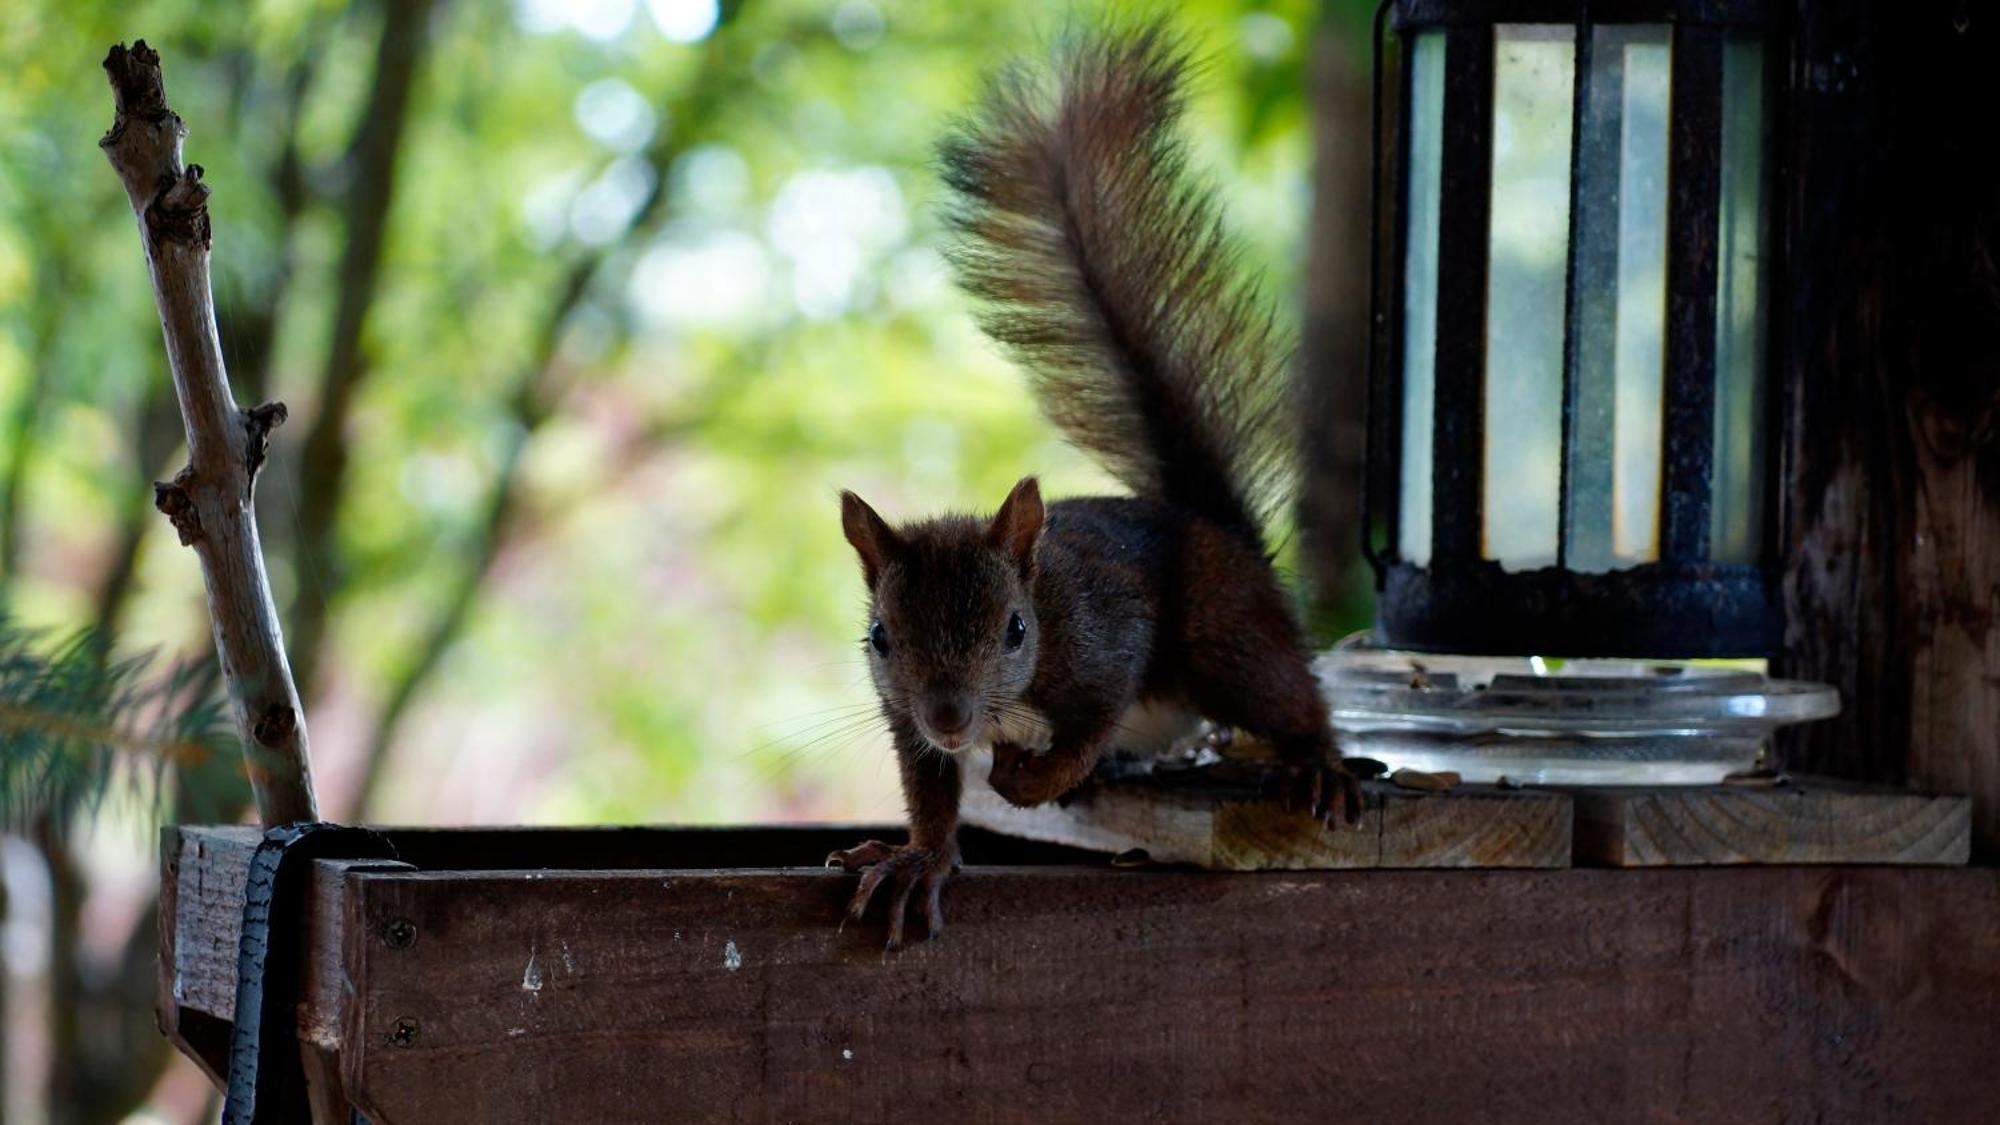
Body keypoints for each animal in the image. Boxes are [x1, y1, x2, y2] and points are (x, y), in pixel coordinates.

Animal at [828, 21, 1360, 940]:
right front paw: (919, 858)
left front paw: (1027, 779)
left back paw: (1316, 761)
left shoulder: (1110, 634)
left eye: (1015, 629)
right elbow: (930, 789)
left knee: (1286, 691)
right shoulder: (904, 717)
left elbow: (1081, 731)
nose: (952, 716)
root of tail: (1220, 530)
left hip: (1225, 631)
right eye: (880, 637)